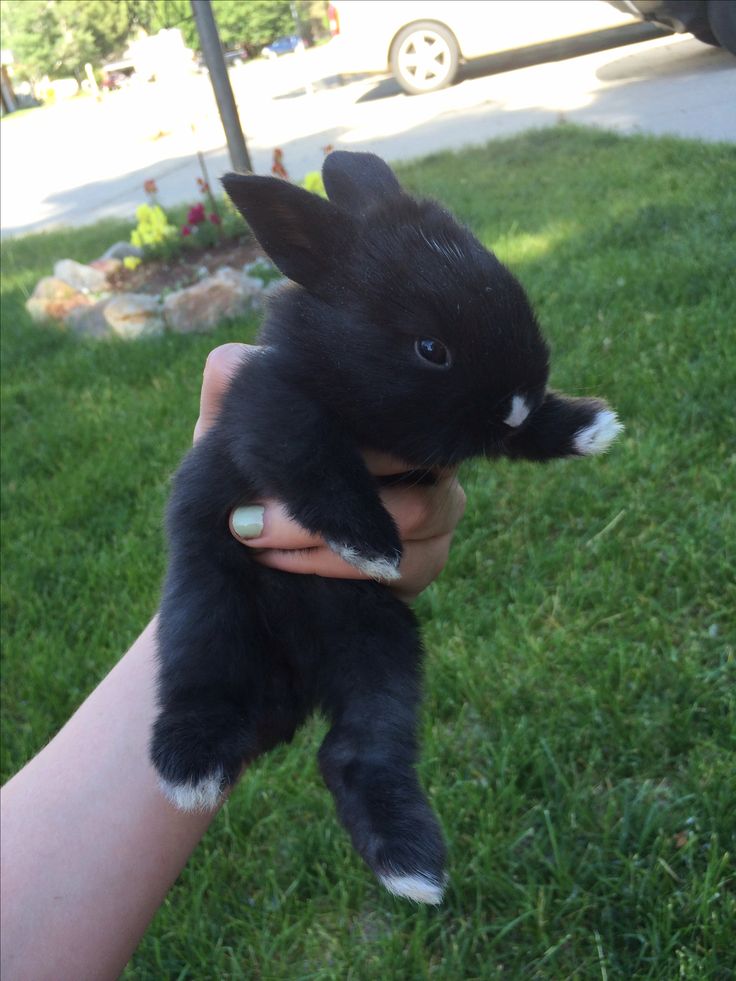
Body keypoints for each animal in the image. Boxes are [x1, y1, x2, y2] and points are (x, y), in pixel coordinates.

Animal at [151, 153, 620, 904]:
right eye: (431, 348)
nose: (516, 401)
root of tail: (295, 692)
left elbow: (520, 441)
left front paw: (587, 426)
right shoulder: (268, 416)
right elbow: (314, 457)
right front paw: (370, 544)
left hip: (385, 656)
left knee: (353, 753)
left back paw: (412, 866)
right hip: (208, 609)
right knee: (205, 687)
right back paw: (191, 771)